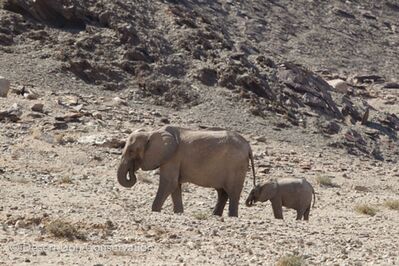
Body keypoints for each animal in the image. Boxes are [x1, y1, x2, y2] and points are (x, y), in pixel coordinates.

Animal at [117, 125, 258, 216]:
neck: (151, 132)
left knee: (233, 192)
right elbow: (175, 186)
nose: (132, 172)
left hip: (236, 166)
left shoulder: (172, 157)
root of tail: (248, 146)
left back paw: (232, 216)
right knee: (222, 192)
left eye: (131, 151)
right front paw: (179, 213)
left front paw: (154, 211)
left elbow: (169, 183)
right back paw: (215, 215)